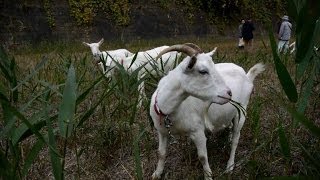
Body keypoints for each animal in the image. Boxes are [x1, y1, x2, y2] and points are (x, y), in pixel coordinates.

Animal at [150, 44, 264, 180]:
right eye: (203, 71)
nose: (229, 93)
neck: (169, 109)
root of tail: (247, 75)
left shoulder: (197, 131)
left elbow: (203, 157)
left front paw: (208, 176)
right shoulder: (162, 132)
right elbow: (161, 153)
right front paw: (157, 174)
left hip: (241, 111)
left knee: (236, 138)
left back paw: (230, 166)